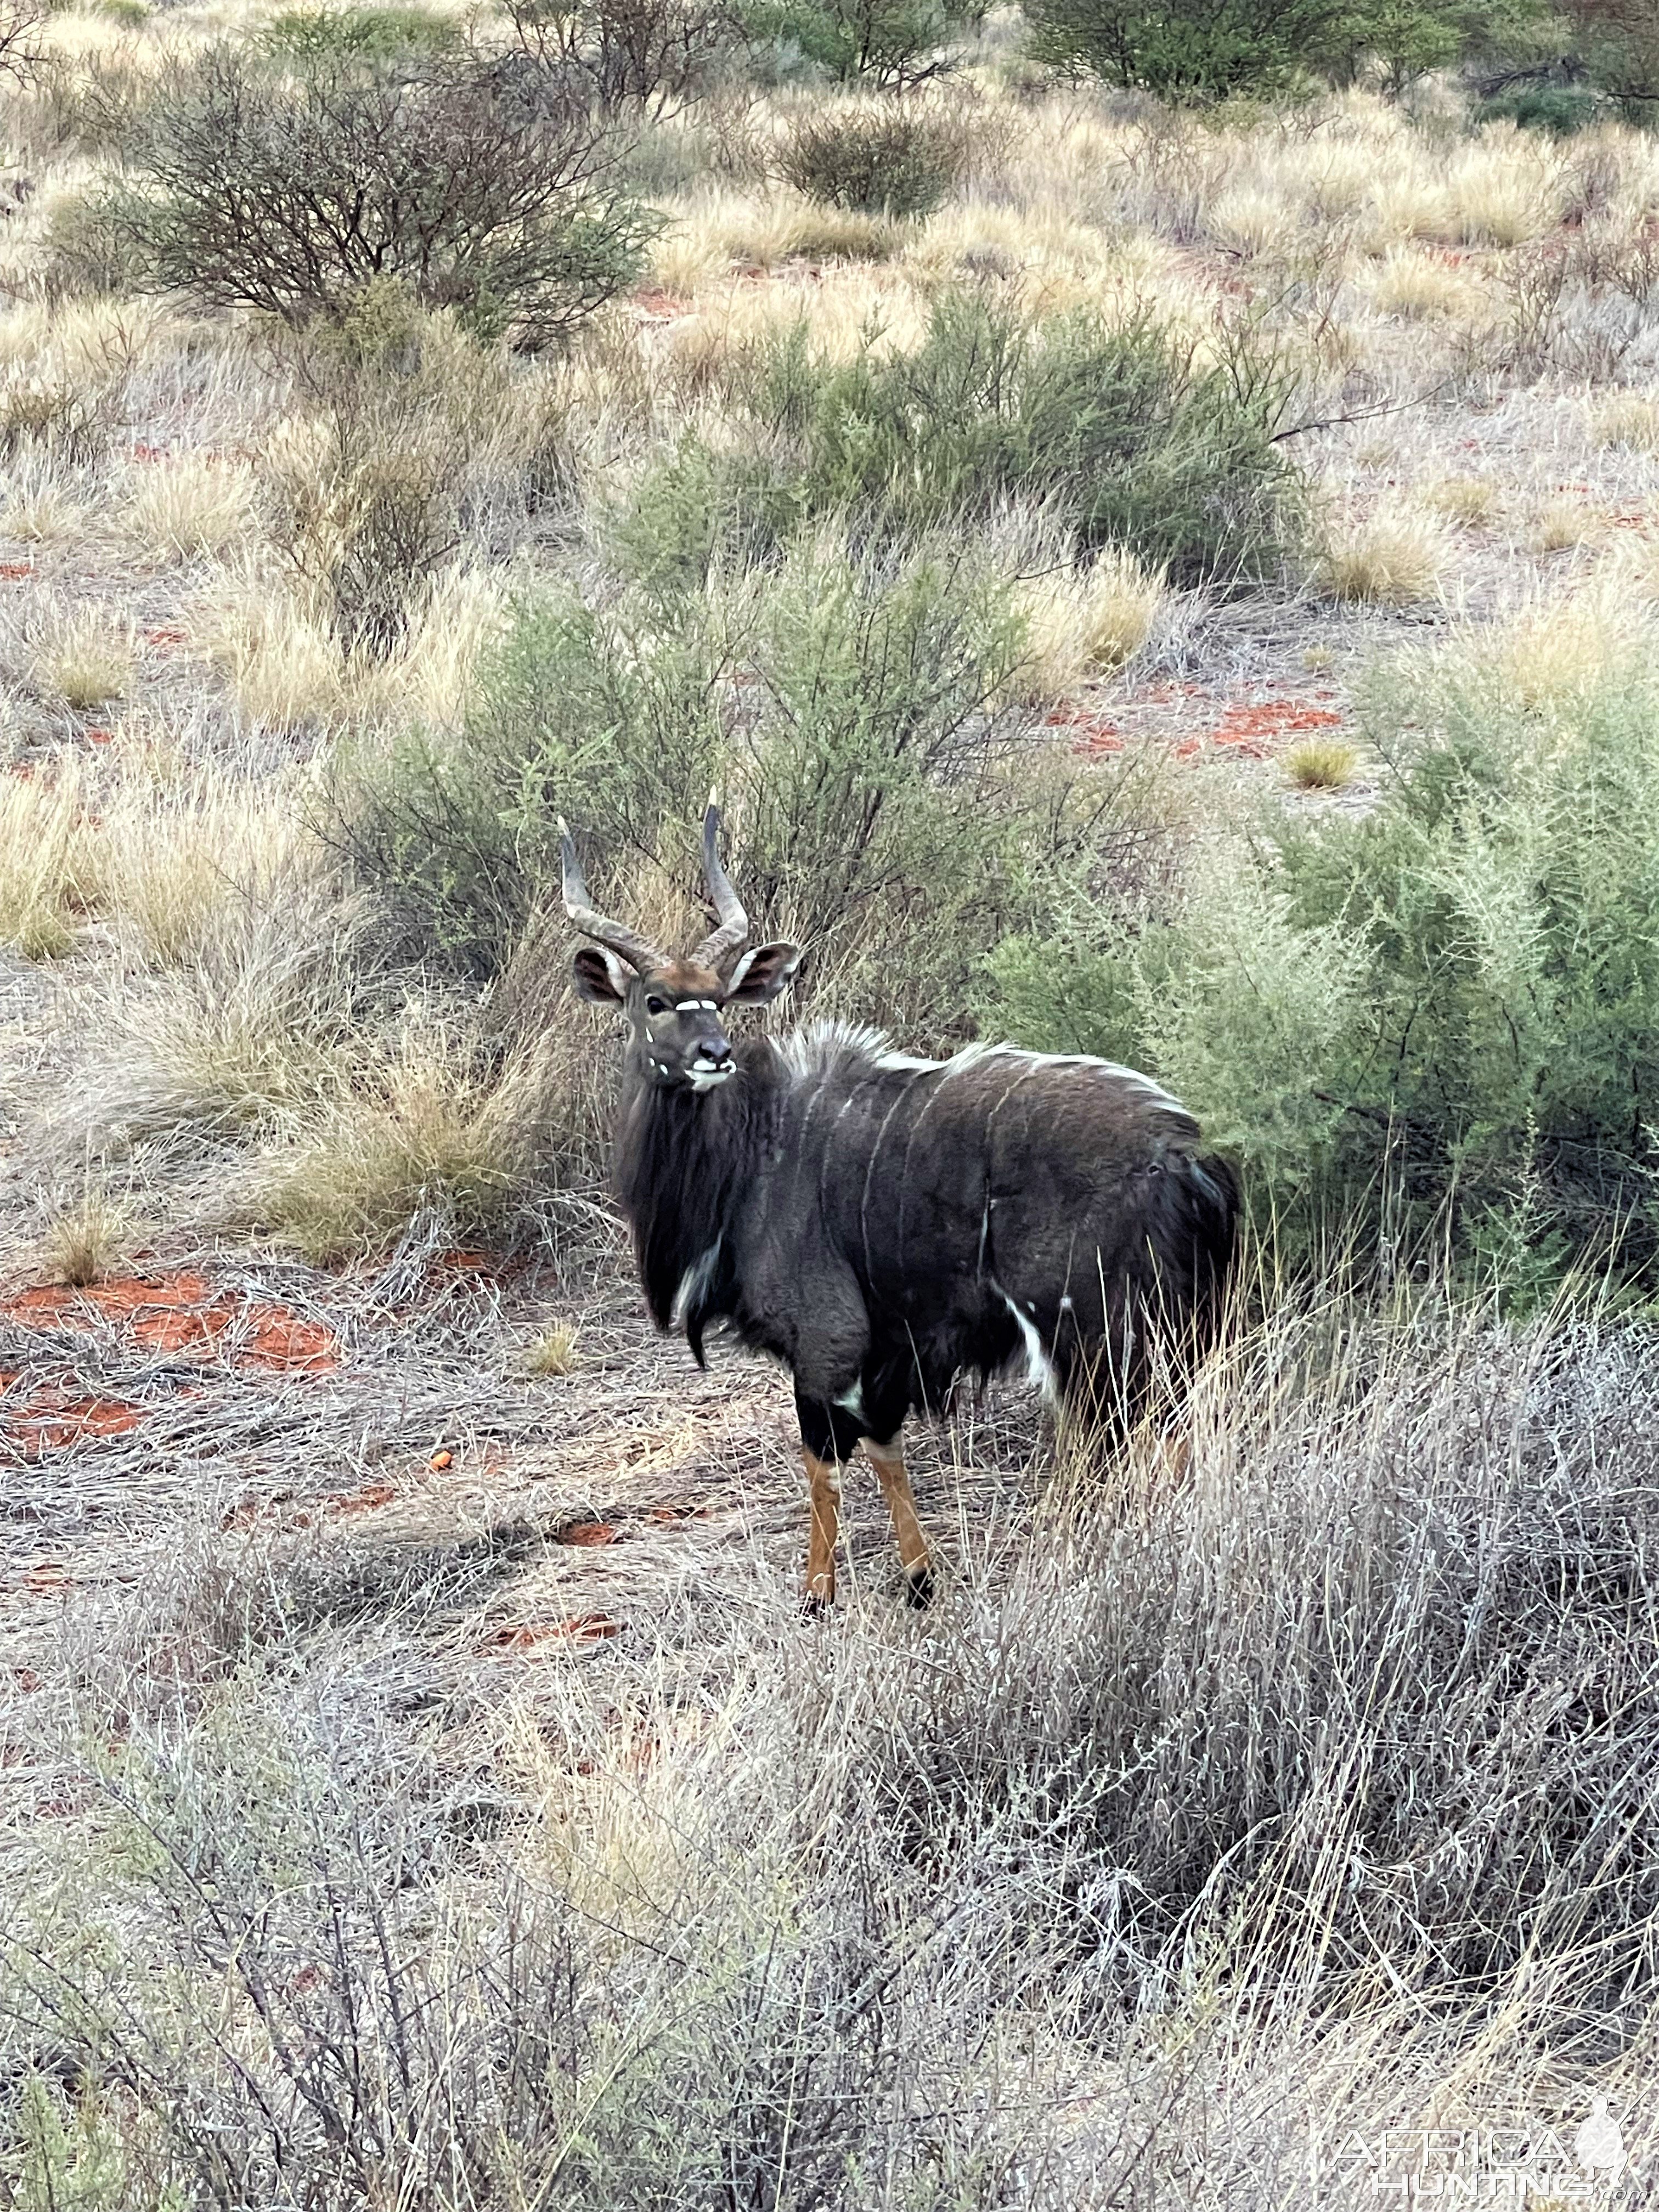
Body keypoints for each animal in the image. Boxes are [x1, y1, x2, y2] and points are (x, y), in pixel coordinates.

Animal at [566, 805, 1238, 1619]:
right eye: (656, 1001)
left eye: (718, 1000)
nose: (714, 1053)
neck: (752, 1151)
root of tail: (1189, 1154)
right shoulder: (882, 1354)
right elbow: (884, 1449)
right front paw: (921, 1579)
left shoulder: (828, 1342)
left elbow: (826, 1462)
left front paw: (820, 1593)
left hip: (1102, 1333)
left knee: (1146, 1443)